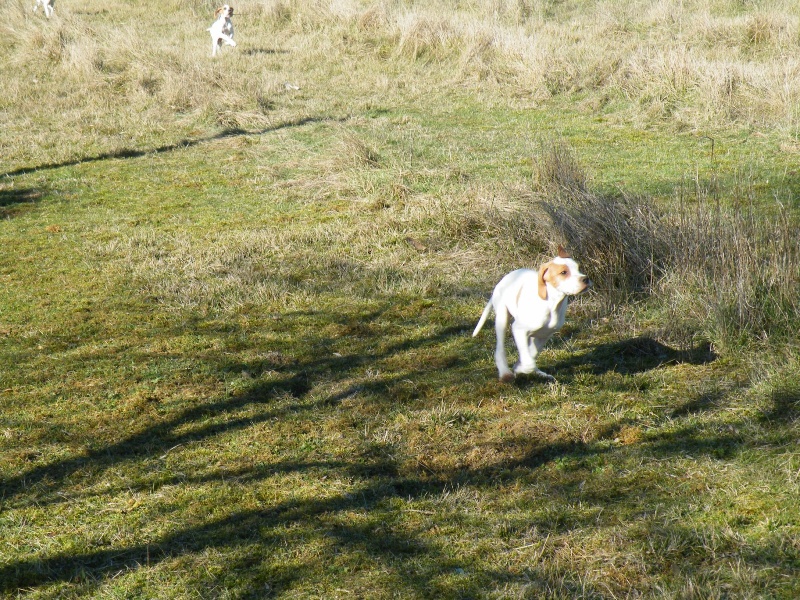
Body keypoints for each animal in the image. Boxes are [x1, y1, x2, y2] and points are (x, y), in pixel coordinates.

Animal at [472, 246, 592, 382]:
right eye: (563, 273)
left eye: (578, 268)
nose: (585, 279)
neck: (551, 304)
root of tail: (504, 279)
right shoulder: (518, 330)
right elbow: (528, 362)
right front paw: (521, 368)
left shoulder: (544, 335)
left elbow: (532, 354)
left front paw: (520, 366)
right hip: (502, 319)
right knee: (500, 349)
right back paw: (505, 373)